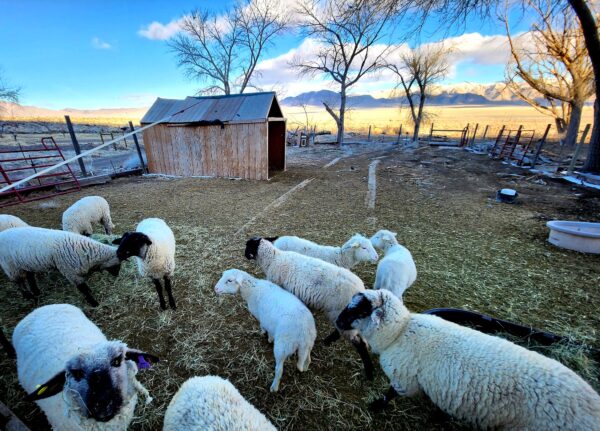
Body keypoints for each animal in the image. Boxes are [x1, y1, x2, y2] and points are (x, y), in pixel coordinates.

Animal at [246, 238, 372, 380]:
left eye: (248, 246)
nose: (245, 255)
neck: (274, 259)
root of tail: (361, 291)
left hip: (341, 313)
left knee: (359, 343)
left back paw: (369, 373)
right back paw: (328, 341)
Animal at [336, 290, 600, 431]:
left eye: (361, 311)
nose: (338, 322)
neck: (400, 331)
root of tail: (591, 408)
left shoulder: (405, 378)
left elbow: (390, 393)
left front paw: (376, 405)